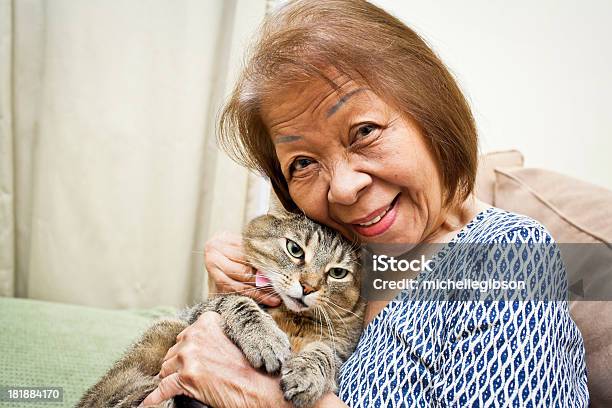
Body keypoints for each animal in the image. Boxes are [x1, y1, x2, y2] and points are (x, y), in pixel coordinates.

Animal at [76, 202, 364, 406]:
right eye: (295, 249)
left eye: (337, 273)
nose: (308, 287)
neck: (291, 317)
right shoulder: (201, 311)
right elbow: (239, 302)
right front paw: (265, 338)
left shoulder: (339, 350)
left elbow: (323, 354)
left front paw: (306, 375)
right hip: (159, 334)